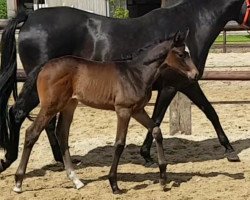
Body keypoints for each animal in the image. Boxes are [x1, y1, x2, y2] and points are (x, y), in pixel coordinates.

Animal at [0, 0, 247, 172]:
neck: (192, 24)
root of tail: (30, 17)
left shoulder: (180, 85)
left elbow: (177, 116)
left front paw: (147, 155)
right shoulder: (179, 84)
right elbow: (199, 113)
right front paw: (230, 150)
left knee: (46, 122)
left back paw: (61, 160)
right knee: (18, 112)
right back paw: (9, 159)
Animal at [14, 31, 199, 194]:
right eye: (181, 54)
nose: (195, 74)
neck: (136, 73)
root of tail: (44, 66)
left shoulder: (137, 110)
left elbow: (156, 131)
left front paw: (163, 178)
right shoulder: (123, 110)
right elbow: (119, 143)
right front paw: (114, 184)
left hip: (69, 105)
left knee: (62, 135)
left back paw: (76, 180)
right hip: (51, 106)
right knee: (32, 132)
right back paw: (18, 183)